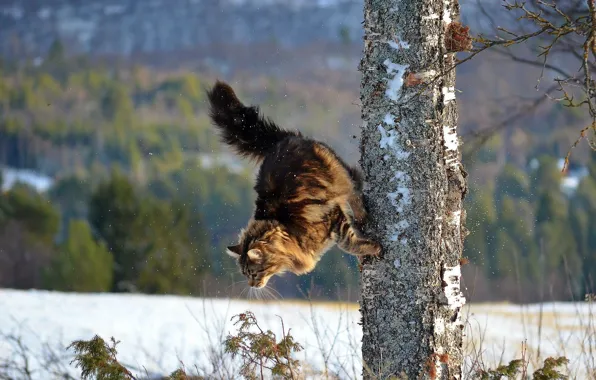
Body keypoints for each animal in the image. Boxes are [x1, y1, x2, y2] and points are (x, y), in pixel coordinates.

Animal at [207, 80, 380, 288]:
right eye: (244, 274)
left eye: (254, 272)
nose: (252, 285)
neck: (287, 230)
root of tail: (281, 141)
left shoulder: (331, 216)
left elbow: (347, 243)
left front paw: (373, 248)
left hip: (338, 174)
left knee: (354, 187)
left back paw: (361, 215)